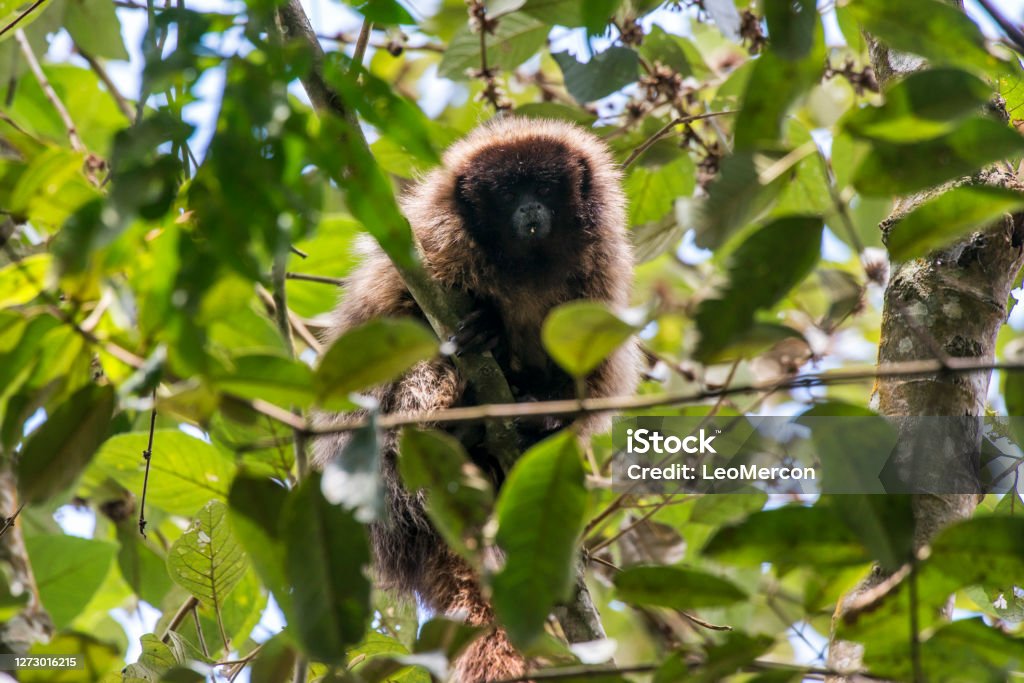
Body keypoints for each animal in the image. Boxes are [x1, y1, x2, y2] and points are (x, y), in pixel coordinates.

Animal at [313, 117, 638, 683]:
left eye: (543, 190)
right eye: (508, 194)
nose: (529, 212)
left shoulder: (601, 261)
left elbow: (595, 375)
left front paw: (547, 411)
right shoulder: (431, 241)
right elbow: (394, 313)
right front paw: (487, 327)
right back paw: (452, 420)